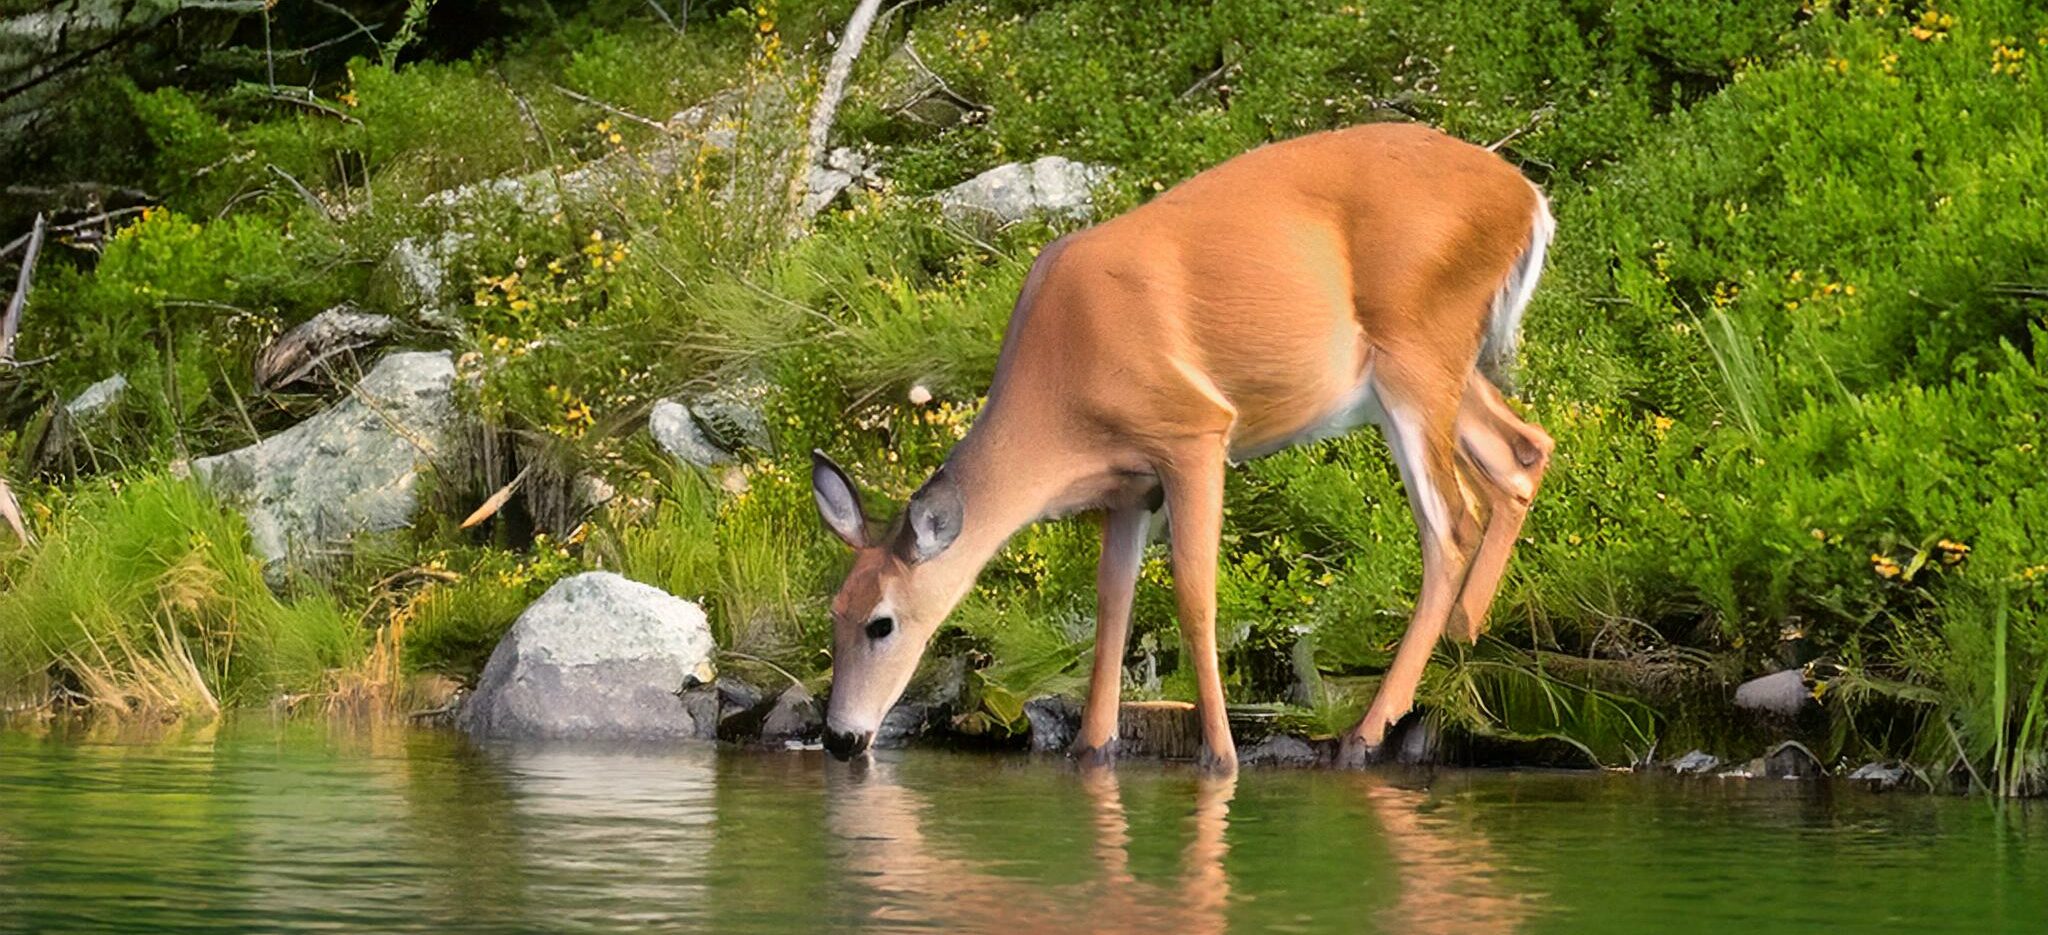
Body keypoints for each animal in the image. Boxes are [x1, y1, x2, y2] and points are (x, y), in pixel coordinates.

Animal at [811, 120, 1548, 769]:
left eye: (882, 623)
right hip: (1443, 367)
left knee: (1450, 524)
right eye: (834, 611)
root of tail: (1529, 199)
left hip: (1417, 350)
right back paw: (1464, 633)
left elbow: (1195, 597)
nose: (840, 738)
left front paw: (1220, 756)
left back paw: (1369, 730)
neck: (1062, 391)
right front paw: (1093, 748)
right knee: (1523, 452)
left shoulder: (1193, 431)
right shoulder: (1127, 488)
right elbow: (1113, 606)